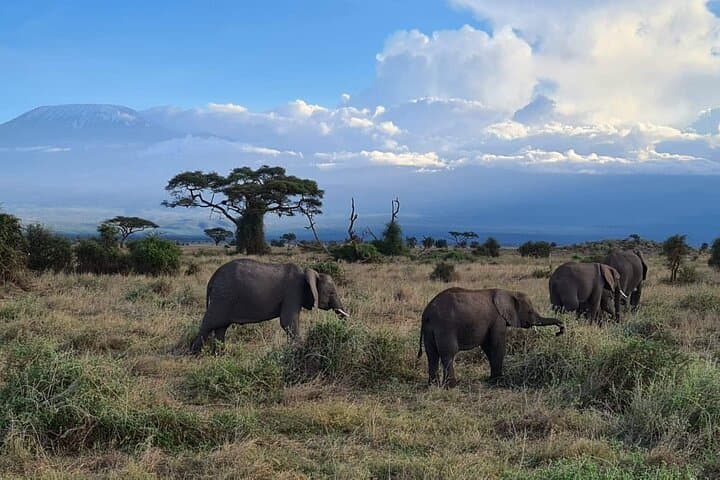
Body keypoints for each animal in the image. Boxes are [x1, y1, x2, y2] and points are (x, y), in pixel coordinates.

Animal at [190, 259, 348, 353]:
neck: (307, 273)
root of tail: (212, 279)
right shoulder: (293, 292)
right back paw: (195, 353)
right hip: (222, 297)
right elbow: (288, 321)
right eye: (332, 292)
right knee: (209, 323)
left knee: (221, 327)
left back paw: (220, 354)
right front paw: (299, 350)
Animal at [417, 288, 564, 387]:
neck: (510, 292)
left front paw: (492, 380)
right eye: (530, 311)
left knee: (432, 354)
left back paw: (433, 385)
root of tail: (427, 312)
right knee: (448, 353)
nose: (560, 330)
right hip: (445, 325)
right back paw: (451, 386)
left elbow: (488, 348)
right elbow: (497, 346)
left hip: (430, 328)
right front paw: (498, 381)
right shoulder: (498, 319)